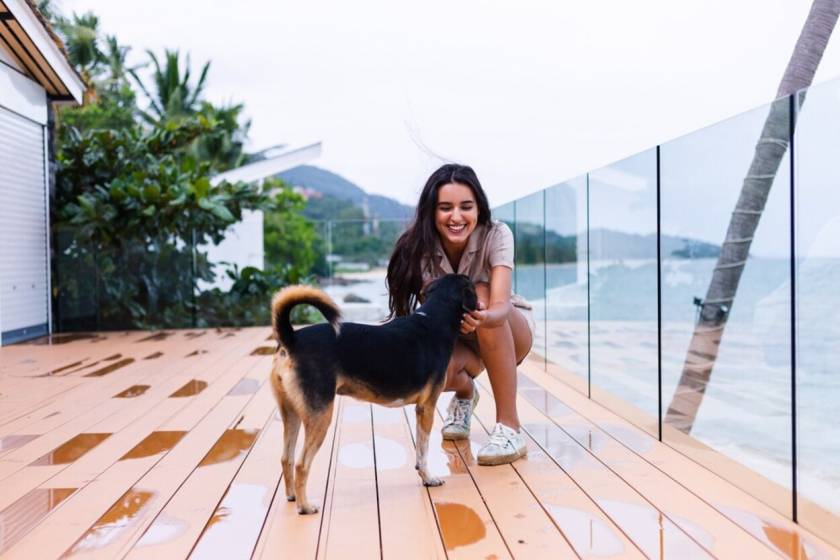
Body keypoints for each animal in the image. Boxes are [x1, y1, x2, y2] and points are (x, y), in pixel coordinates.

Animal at [270, 274, 480, 516]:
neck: (435, 318)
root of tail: (292, 339)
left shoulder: (420, 410)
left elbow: (419, 450)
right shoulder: (426, 407)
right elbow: (424, 450)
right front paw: (428, 478)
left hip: (291, 413)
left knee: (286, 458)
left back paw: (292, 496)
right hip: (320, 416)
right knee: (301, 464)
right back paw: (305, 506)